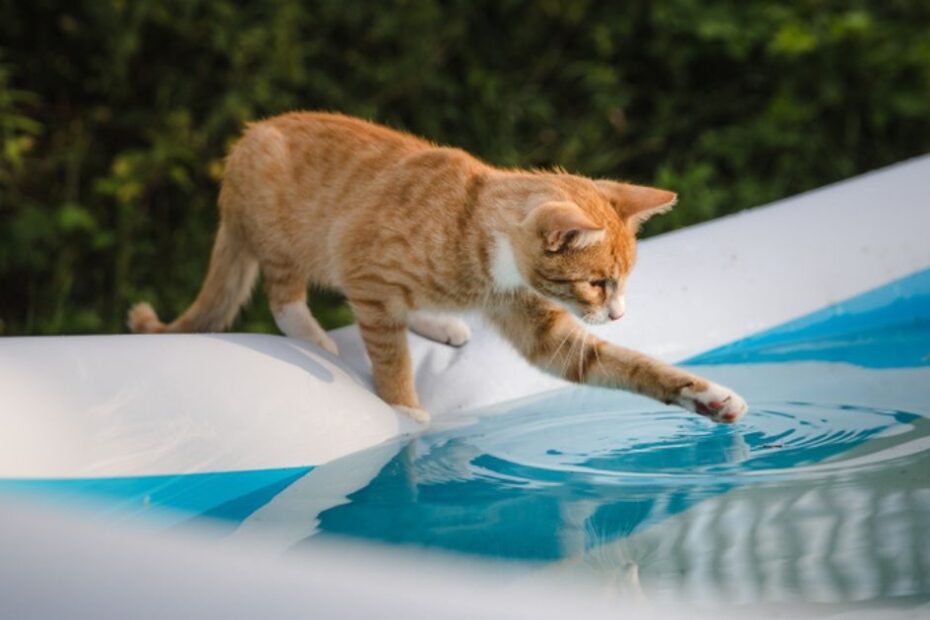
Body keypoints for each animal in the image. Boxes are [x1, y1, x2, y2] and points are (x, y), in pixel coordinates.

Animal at [129, 111, 748, 424]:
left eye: (621, 284)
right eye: (597, 284)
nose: (619, 314)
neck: (474, 227)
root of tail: (244, 142)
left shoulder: (544, 333)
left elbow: (627, 365)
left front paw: (707, 396)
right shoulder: (368, 275)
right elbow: (389, 355)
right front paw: (406, 411)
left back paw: (439, 321)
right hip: (284, 229)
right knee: (285, 294)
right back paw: (313, 337)